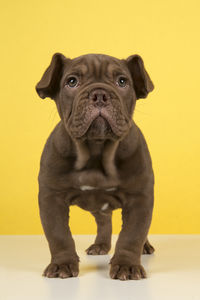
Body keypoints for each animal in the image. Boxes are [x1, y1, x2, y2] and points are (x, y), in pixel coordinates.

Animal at [35, 52, 155, 282]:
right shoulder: (51, 197)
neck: (96, 150)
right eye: (72, 81)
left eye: (122, 82)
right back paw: (100, 245)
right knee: (104, 222)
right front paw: (62, 264)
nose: (100, 94)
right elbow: (58, 234)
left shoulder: (140, 198)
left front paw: (127, 265)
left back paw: (144, 247)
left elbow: (133, 234)